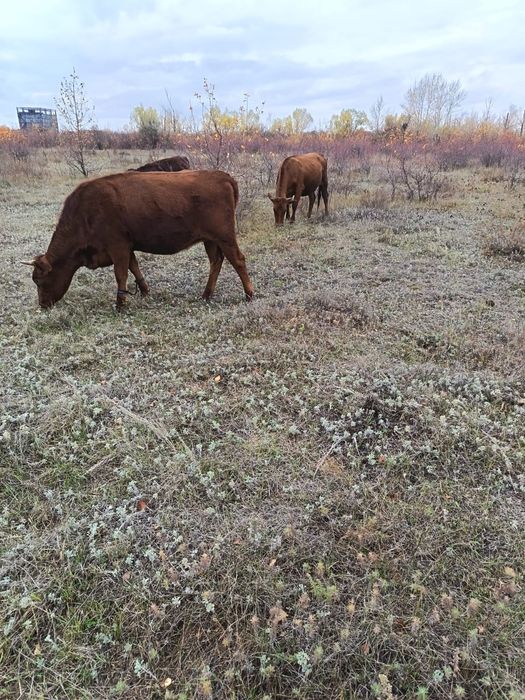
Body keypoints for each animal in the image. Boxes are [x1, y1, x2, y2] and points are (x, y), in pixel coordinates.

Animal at [22, 170, 254, 310]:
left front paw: (120, 304)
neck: (86, 212)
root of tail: (221, 175)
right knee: (216, 262)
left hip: (225, 237)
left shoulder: (117, 246)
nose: (42, 305)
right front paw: (144, 292)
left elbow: (121, 274)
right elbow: (134, 268)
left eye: (39, 280)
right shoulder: (127, 247)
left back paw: (249, 294)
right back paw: (206, 294)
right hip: (210, 240)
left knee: (238, 260)